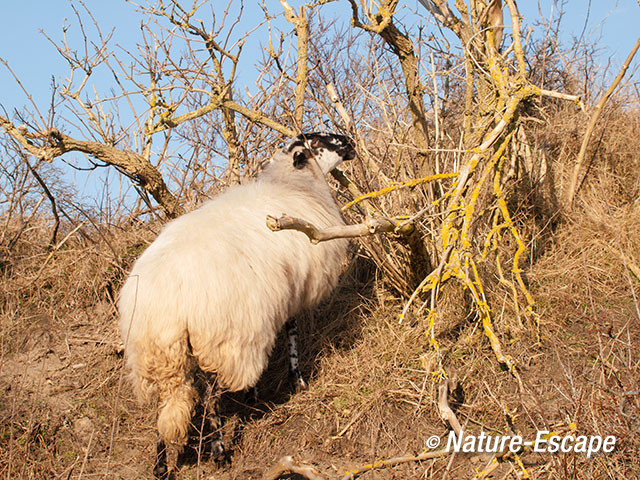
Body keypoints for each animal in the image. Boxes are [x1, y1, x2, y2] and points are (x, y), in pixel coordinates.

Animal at [117, 131, 352, 476]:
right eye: (319, 140)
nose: (350, 142)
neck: (292, 185)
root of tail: (167, 302)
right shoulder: (287, 292)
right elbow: (291, 331)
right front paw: (295, 380)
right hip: (221, 336)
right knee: (212, 395)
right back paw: (220, 452)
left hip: (156, 351)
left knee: (166, 401)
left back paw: (161, 464)